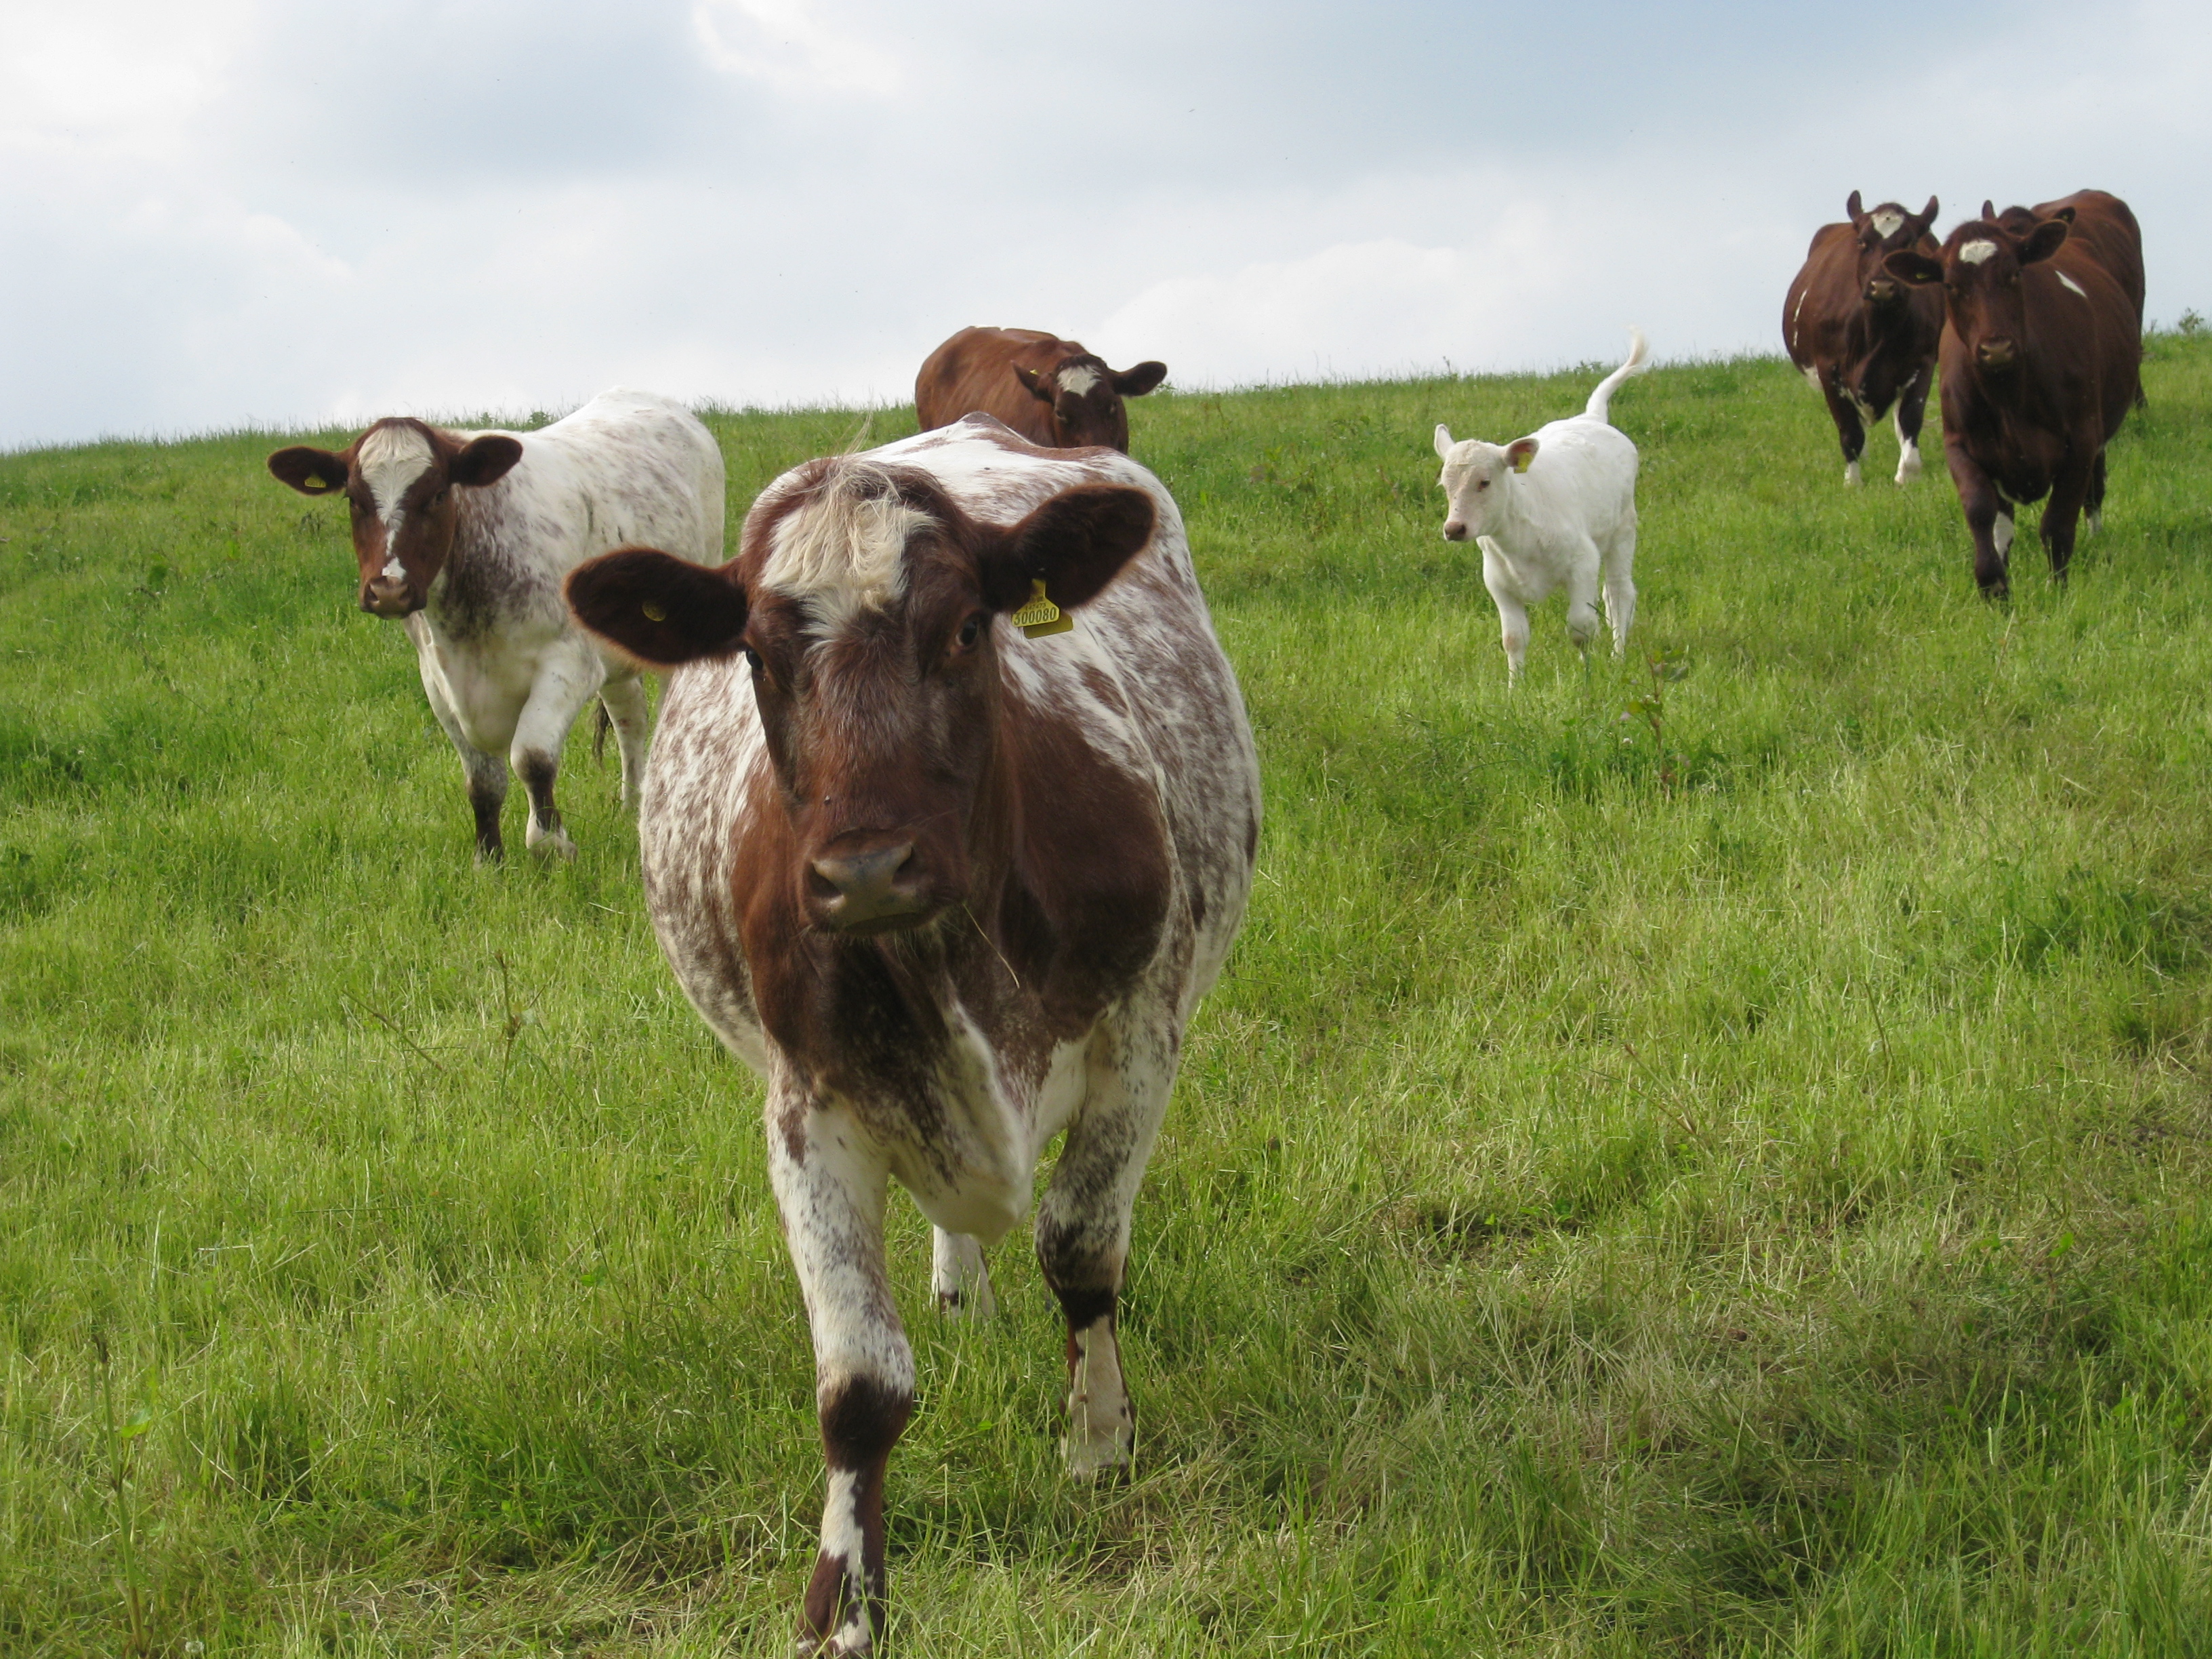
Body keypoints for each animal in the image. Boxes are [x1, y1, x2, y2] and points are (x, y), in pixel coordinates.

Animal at [267, 389, 724, 861]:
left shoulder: (568, 663)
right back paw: (632, 804)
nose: (388, 589)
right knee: (629, 715)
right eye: (354, 500)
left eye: (436, 495)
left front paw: (550, 844)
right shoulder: (437, 681)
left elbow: (532, 758)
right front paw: (488, 857)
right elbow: (482, 781)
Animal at [563, 414, 1260, 1655]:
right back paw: (958, 1288)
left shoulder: (1144, 1028)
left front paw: (1097, 1439)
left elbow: (1080, 1245)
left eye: (966, 628)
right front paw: (842, 1607)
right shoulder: (809, 1103)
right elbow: (860, 1385)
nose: (866, 871)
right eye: (756, 655)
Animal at [1433, 329, 1651, 681]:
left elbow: (1581, 628)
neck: (1519, 536)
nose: (1454, 529)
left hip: (1623, 530)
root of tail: (1591, 417)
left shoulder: (1583, 562)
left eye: (1484, 482)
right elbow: (1513, 638)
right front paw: (1515, 688)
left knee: (1619, 594)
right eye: (1445, 485)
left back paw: (1619, 658)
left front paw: (1588, 678)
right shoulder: (1497, 580)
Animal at [1782, 191, 1944, 486]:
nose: (1882, 286)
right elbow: (1850, 431)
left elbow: (1910, 420)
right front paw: (1853, 483)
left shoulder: (1922, 363)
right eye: (1862, 242)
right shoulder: (1828, 369)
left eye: (1910, 242)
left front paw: (1907, 476)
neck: (1877, 330)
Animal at [1885, 194, 2144, 596]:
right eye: (1951, 285)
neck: (2009, 396)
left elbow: (2057, 523)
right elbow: (1981, 514)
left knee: (2094, 491)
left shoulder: (2081, 443)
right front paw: (1993, 585)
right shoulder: (1960, 445)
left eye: (2014, 274)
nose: (1996, 348)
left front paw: (2058, 592)